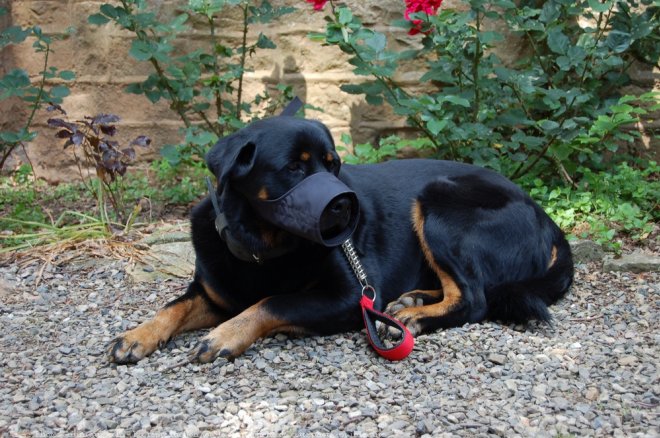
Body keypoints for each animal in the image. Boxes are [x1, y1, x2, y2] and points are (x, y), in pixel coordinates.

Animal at [108, 115, 572, 362]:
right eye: (294, 168)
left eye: (333, 165)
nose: (346, 206)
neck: (262, 248)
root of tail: (546, 219)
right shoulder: (213, 292)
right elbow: (175, 306)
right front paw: (139, 334)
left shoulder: (351, 296)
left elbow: (272, 301)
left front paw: (225, 334)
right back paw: (413, 300)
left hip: (438, 202)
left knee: (475, 298)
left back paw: (415, 317)